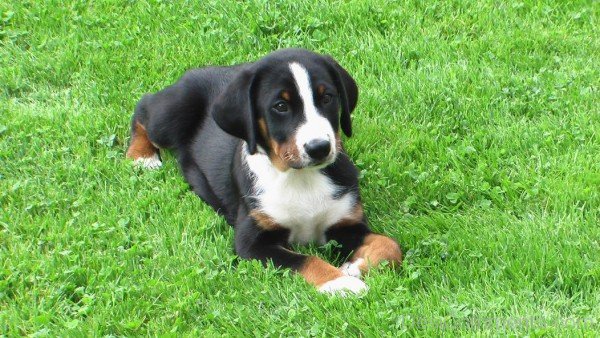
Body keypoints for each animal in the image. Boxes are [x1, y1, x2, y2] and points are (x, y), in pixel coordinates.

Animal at [127, 48, 404, 294]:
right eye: (280, 106)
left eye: (327, 98)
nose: (319, 148)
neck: (300, 178)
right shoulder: (253, 243)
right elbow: (305, 260)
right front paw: (340, 282)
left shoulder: (346, 222)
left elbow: (390, 245)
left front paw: (356, 266)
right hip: (171, 115)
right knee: (144, 107)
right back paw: (142, 156)